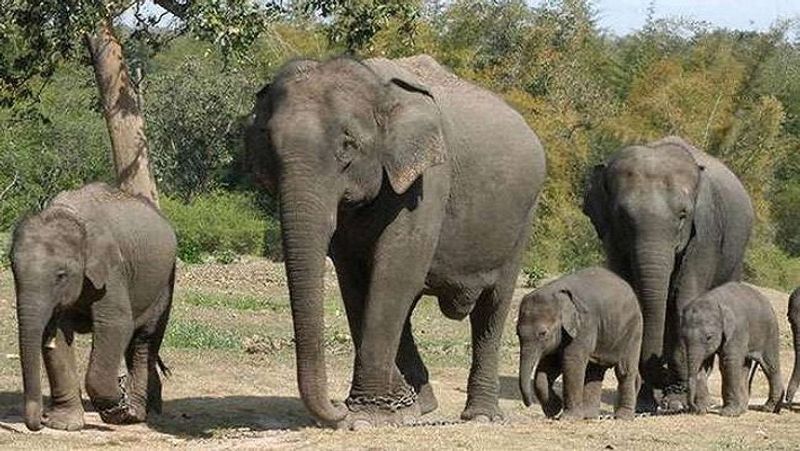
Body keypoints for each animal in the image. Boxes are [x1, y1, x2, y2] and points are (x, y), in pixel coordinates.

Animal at [11, 184, 177, 430]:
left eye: (61, 275)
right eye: (13, 270)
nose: (41, 420)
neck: (70, 214)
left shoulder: (113, 271)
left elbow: (116, 325)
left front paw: (118, 408)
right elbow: (56, 336)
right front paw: (64, 424)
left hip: (164, 283)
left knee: (144, 340)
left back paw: (137, 412)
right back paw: (148, 408)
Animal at [247, 54, 548, 430]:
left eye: (348, 145)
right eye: (269, 144)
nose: (337, 408)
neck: (376, 83)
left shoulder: (429, 182)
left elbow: (395, 273)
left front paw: (367, 416)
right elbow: (356, 282)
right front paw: (396, 408)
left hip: (523, 219)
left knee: (492, 306)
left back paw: (481, 416)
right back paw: (422, 403)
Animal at [520, 268, 644, 420]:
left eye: (543, 333)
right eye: (517, 333)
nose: (528, 404)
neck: (557, 293)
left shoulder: (584, 325)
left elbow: (572, 362)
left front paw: (568, 417)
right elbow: (549, 366)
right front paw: (554, 410)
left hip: (633, 329)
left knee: (624, 370)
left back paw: (622, 417)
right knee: (595, 371)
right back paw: (589, 416)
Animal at [584, 137, 752, 414]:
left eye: (683, 215)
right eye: (622, 217)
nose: (661, 371)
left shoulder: (704, 235)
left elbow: (685, 300)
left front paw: (676, 402)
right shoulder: (611, 236)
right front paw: (645, 403)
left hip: (735, 256)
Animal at [680, 282, 784, 416]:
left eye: (709, 337)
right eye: (683, 337)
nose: (693, 408)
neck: (713, 300)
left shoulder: (737, 330)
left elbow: (729, 363)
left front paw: (728, 413)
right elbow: (705, 363)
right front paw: (703, 409)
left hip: (770, 331)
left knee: (770, 366)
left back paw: (768, 408)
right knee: (745, 366)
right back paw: (743, 409)